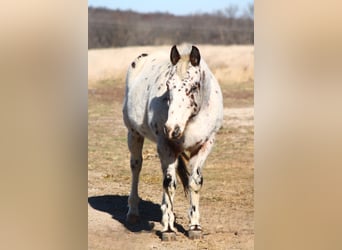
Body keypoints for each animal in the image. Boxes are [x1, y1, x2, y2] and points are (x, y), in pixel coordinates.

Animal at [121, 43, 223, 240]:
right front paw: (168, 229)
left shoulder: (205, 145)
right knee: (136, 166)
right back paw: (133, 212)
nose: (171, 128)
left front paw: (195, 227)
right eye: (168, 86)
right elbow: (169, 184)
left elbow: (194, 182)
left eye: (194, 87)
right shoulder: (165, 146)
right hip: (134, 135)